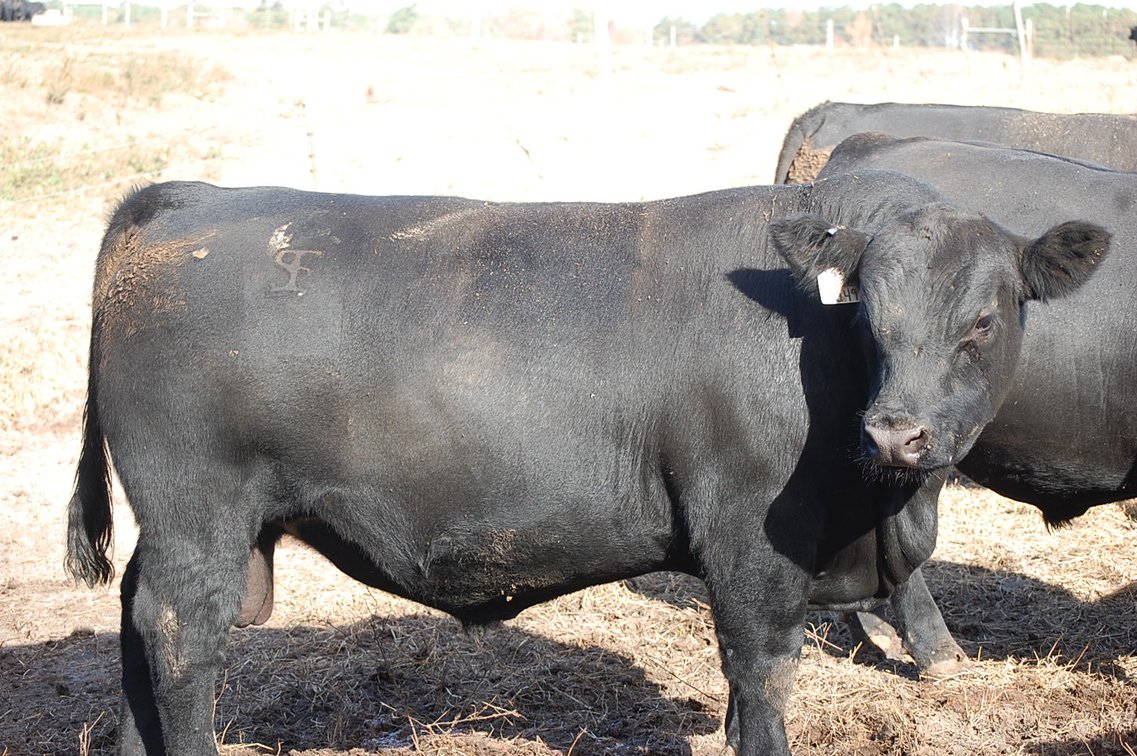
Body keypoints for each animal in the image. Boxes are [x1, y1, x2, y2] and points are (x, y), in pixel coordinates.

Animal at [65, 176, 1107, 754]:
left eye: (984, 320)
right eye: (870, 315)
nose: (897, 435)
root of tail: (190, 198)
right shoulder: (752, 550)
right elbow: (760, 683)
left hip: (185, 530)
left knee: (135, 622)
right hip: (200, 519)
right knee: (178, 638)